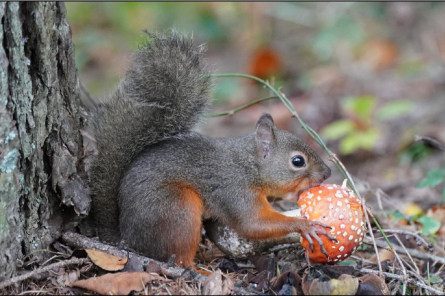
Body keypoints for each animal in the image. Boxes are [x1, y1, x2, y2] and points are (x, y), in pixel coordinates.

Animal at [89, 31, 332, 274]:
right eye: (298, 161)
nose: (327, 173)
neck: (249, 166)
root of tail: (127, 239)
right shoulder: (235, 190)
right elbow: (252, 224)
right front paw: (304, 225)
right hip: (177, 209)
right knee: (179, 257)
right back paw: (200, 271)